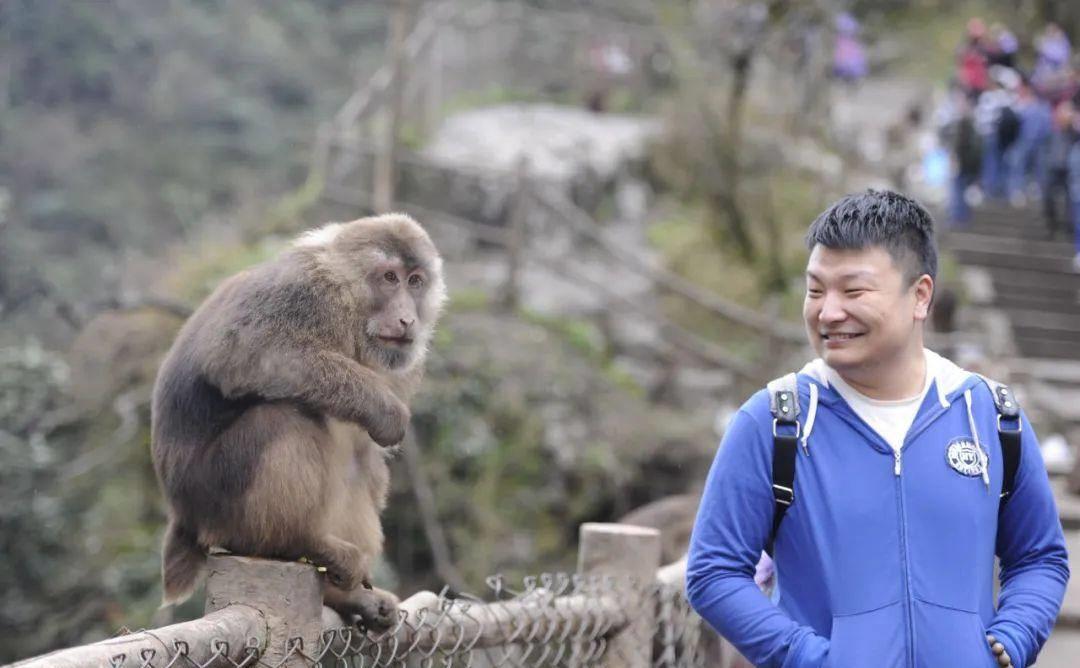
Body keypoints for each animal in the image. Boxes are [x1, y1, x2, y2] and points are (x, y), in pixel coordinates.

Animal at [150, 215, 444, 634]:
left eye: (415, 281)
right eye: (390, 277)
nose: (407, 319)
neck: (350, 312)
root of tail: (183, 517)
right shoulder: (303, 293)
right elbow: (242, 350)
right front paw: (385, 410)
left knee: (361, 459)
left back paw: (344, 595)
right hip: (212, 496)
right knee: (284, 416)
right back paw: (300, 542)